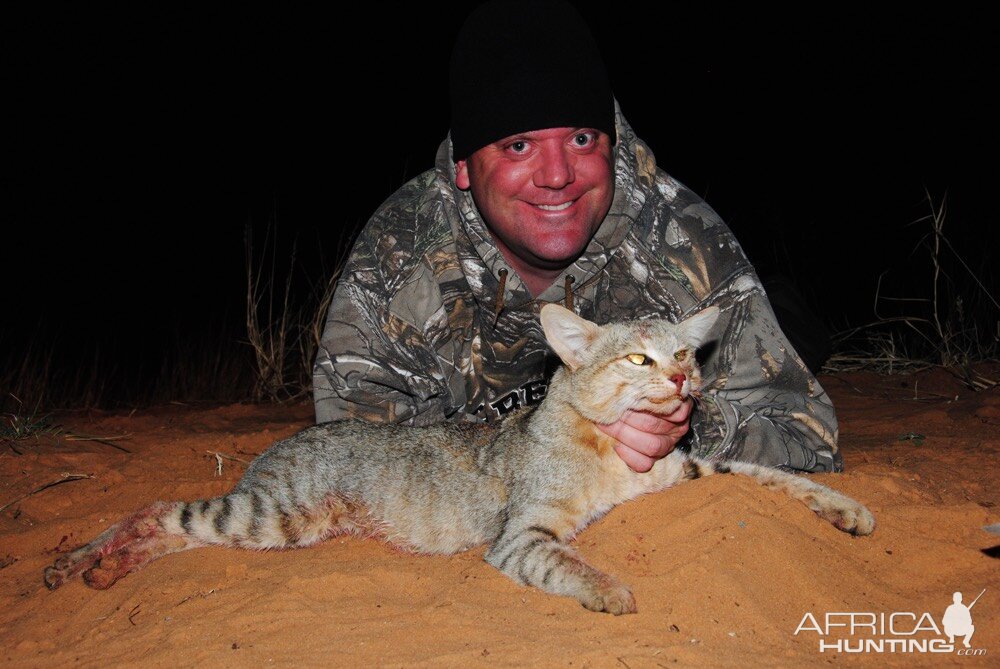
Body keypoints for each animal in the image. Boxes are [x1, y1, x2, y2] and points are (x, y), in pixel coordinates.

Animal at [47, 306, 876, 612]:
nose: (682, 381)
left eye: (682, 354)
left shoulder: (689, 471)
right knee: (158, 508)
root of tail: (279, 445)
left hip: (283, 526)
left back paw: (104, 568)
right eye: (638, 358)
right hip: (269, 514)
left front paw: (847, 510)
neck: (611, 454)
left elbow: (770, 473)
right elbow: (564, 560)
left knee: (172, 527)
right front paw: (611, 589)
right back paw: (80, 559)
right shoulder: (523, 534)